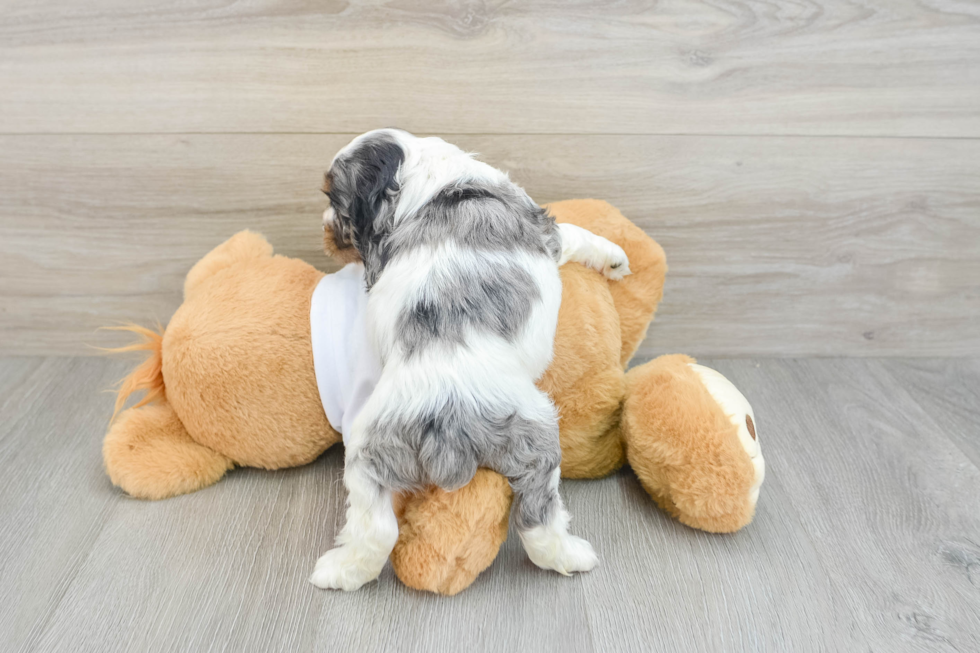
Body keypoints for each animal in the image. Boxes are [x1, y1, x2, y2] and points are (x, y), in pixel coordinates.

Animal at [314, 129, 636, 592]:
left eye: (334, 202)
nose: (323, 225)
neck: (425, 180)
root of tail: (442, 420)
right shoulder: (544, 230)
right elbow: (575, 232)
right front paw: (613, 256)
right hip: (534, 437)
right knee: (536, 518)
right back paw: (573, 556)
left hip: (370, 450)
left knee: (376, 527)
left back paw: (338, 571)